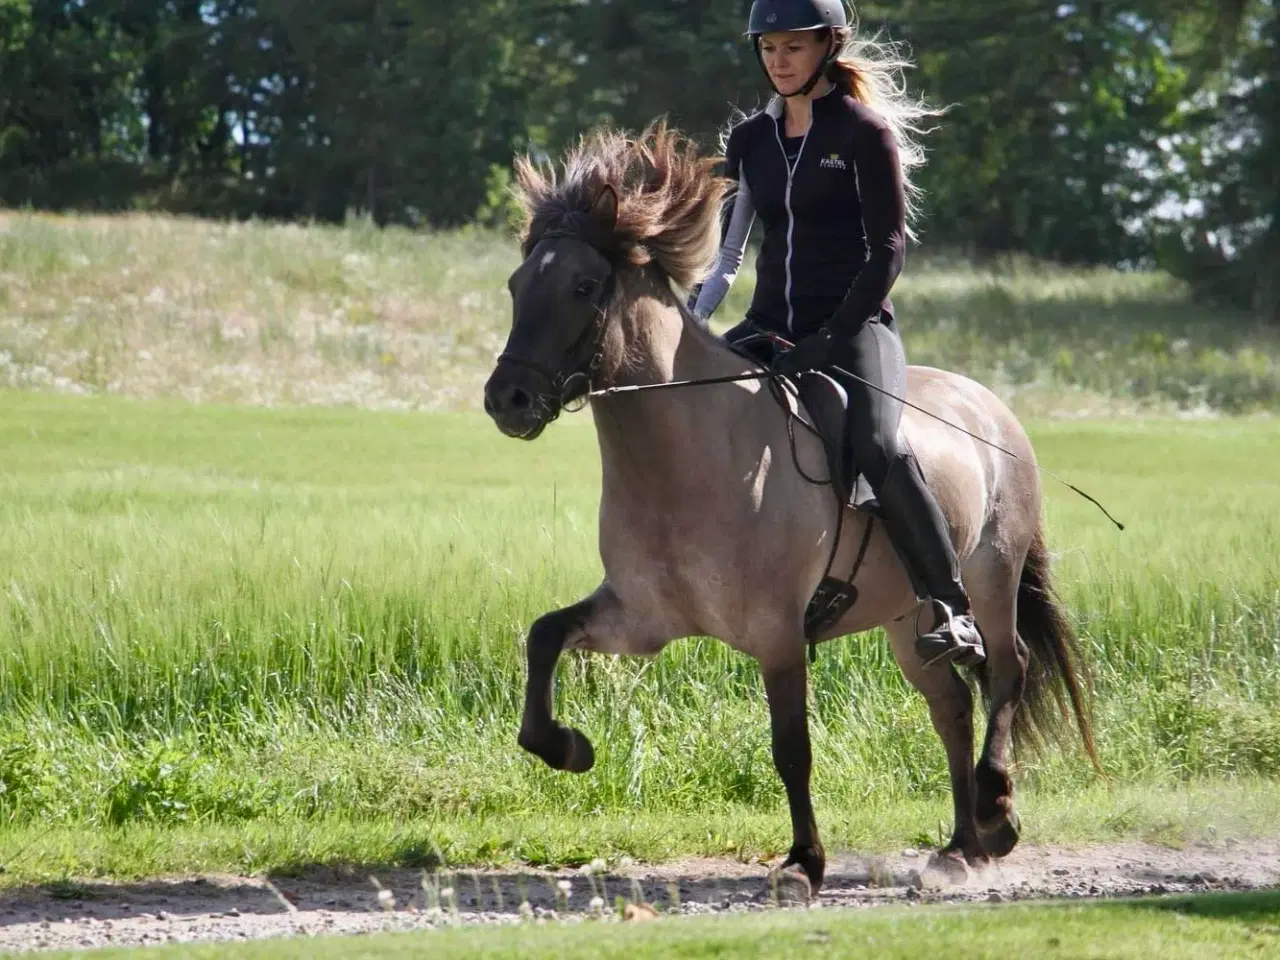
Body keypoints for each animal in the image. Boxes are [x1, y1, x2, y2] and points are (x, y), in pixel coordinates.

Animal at [481, 120, 1100, 901]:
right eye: (516, 285)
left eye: (583, 285)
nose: (507, 400)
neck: (688, 459)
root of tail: (992, 407)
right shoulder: (642, 619)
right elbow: (543, 636)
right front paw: (567, 747)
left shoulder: (777, 633)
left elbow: (791, 748)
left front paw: (804, 863)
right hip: (907, 621)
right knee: (951, 705)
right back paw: (960, 845)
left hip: (989, 579)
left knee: (1006, 671)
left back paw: (995, 811)